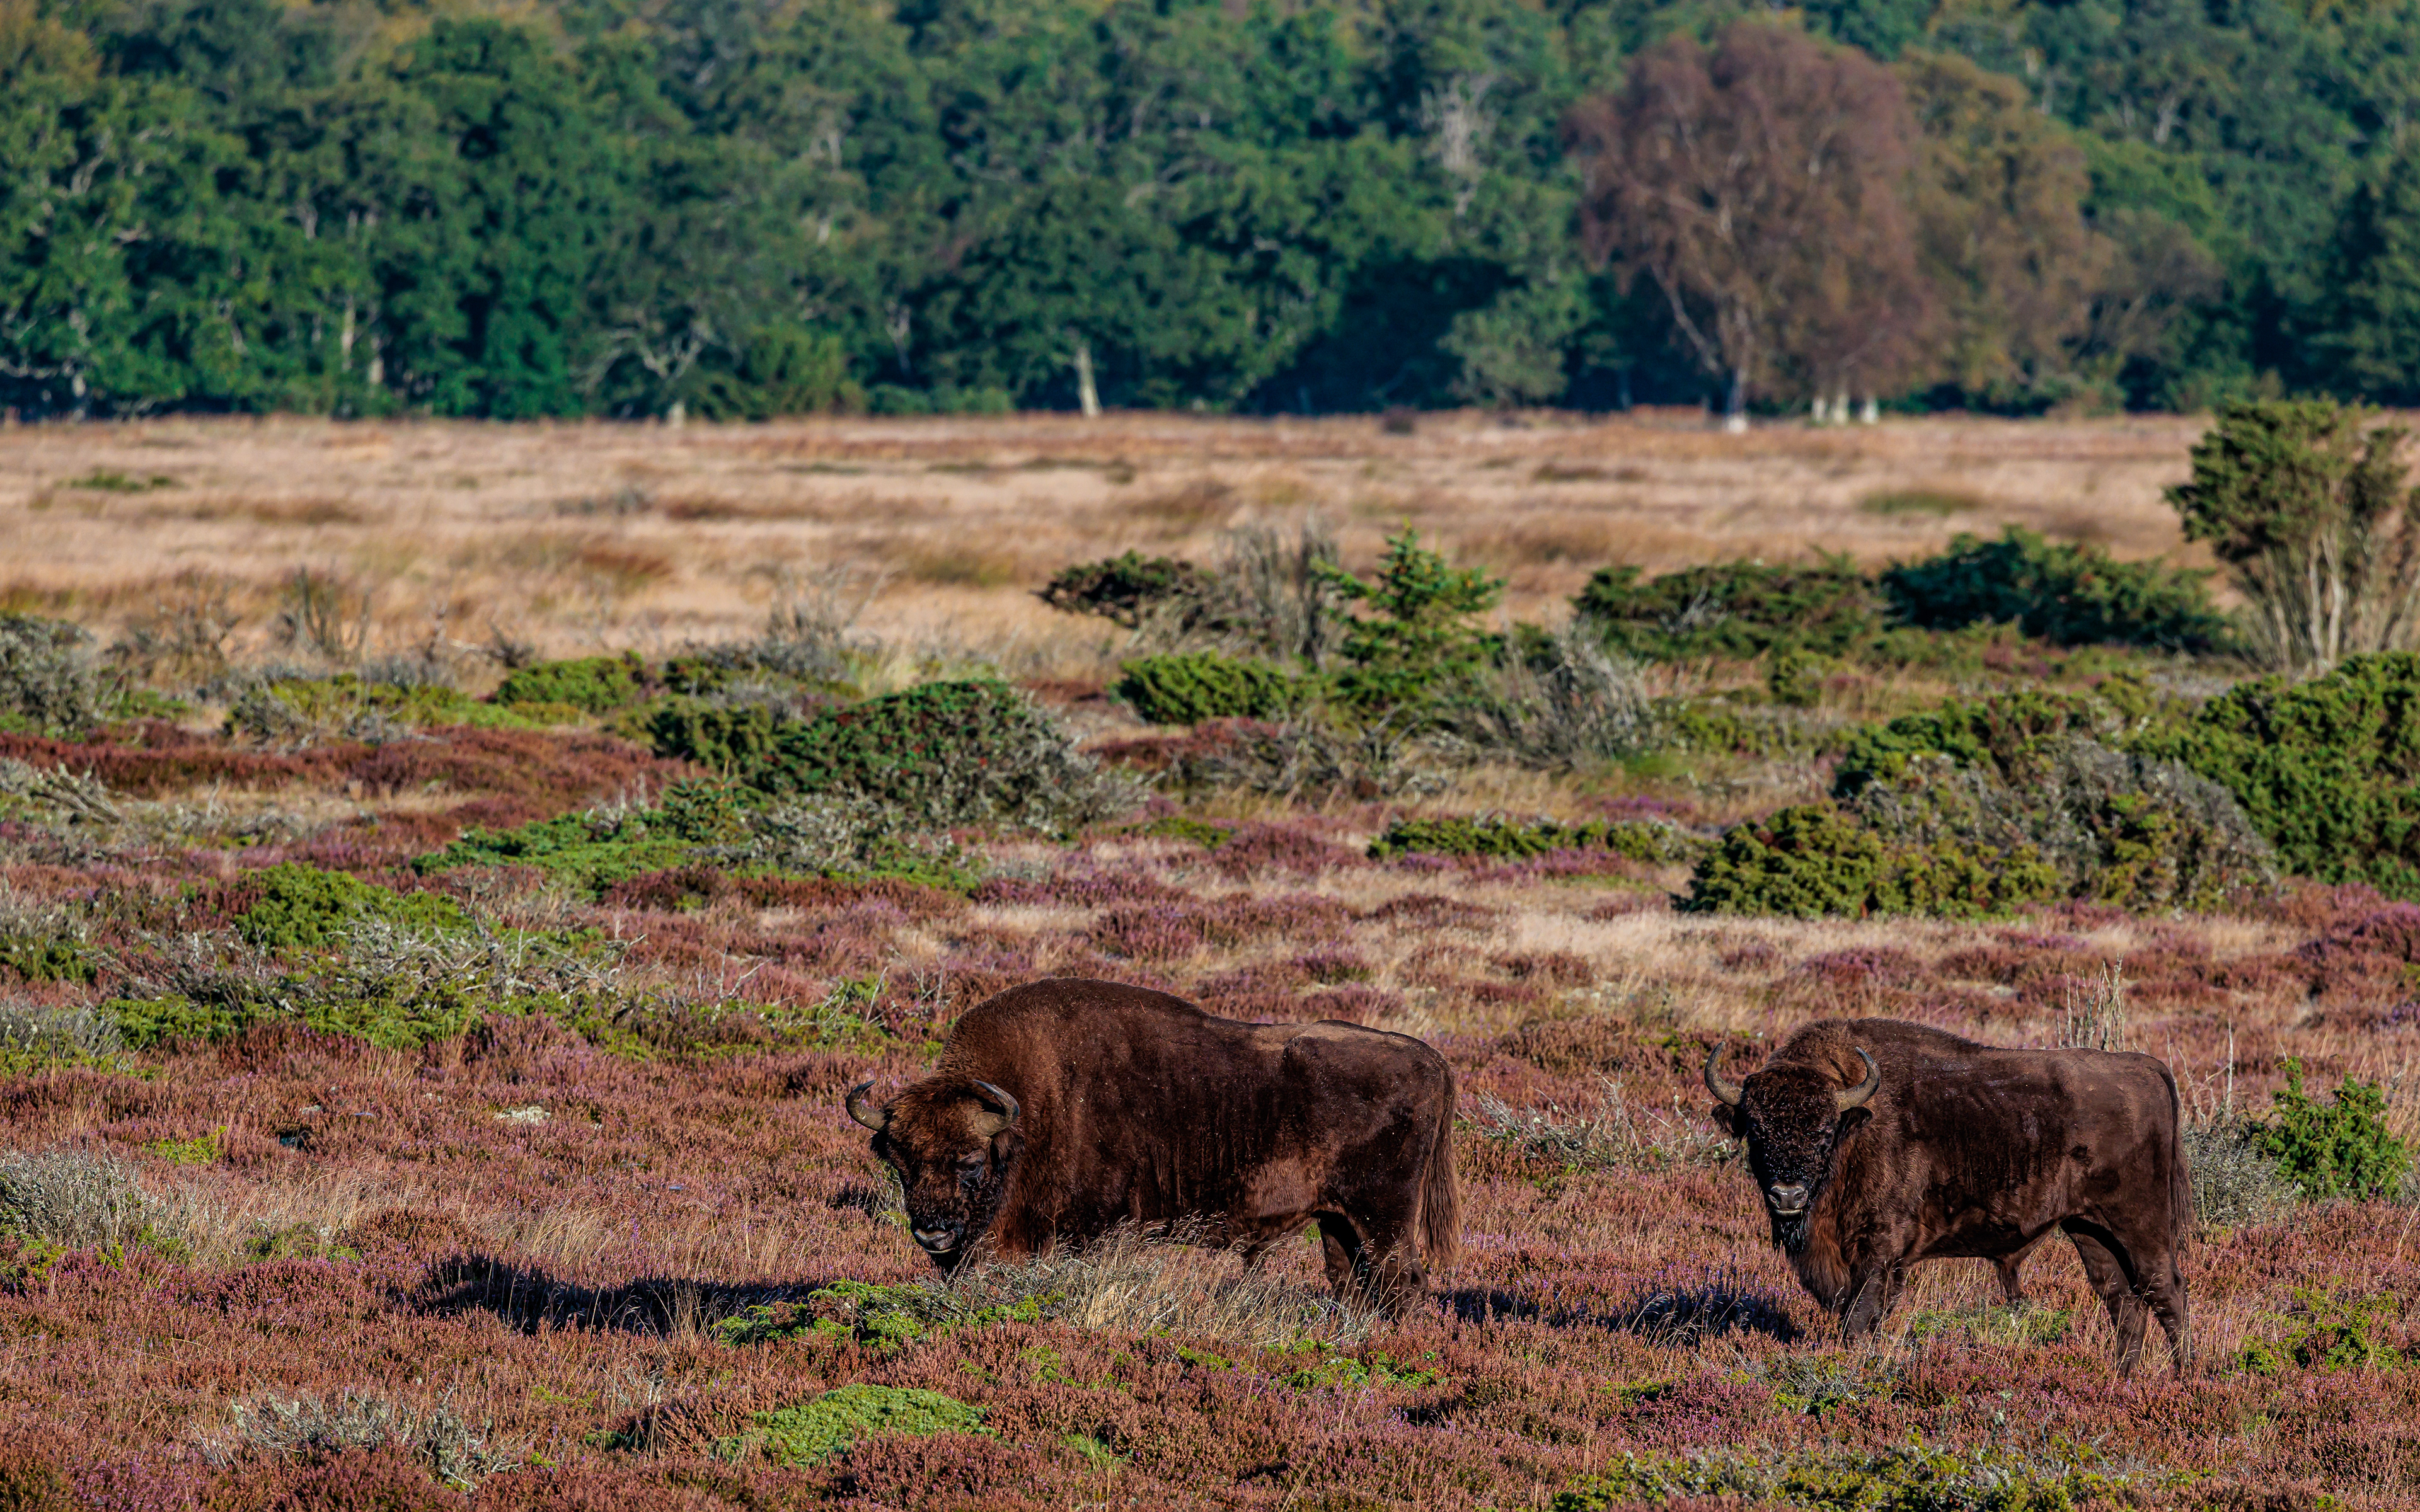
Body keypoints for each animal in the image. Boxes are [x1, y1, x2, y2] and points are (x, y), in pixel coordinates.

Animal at [844, 978, 1459, 1314]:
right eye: (899, 1162)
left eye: (971, 1162)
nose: (933, 1235)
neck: (1029, 1114)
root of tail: (1431, 1059)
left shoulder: (1084, 1233)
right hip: (1337, 1219)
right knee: (1352, 1280)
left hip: (1382, 1217)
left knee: (1402, 1280)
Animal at [1705, 1017, 2191, 1374]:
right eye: (1756, 1131)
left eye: (1824, 1131)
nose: (1787, 1196)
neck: (1856, 1124)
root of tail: (2148, 1067)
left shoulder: (1878, 1252)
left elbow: (1859, 1321)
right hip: (2090, 1230)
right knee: (2124, 1301)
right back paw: (2121, 1380)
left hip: (2140, 1226)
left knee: (2167, 1292)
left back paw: (2184, 1380)